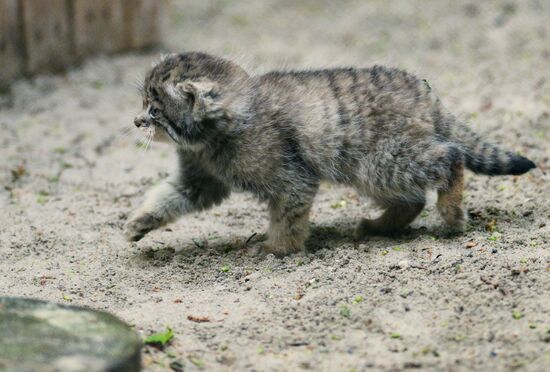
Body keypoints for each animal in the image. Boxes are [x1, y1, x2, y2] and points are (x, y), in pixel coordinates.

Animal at [123, 53, 536, 256]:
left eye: (154, 110)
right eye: (143, 105)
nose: (136, 120)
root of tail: (424, 92)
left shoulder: (293, 180)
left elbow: (287, 218)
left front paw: (279, 249)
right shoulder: (199, 180)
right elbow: (167, 196)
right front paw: (139, 222)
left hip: (384, 161)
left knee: (450, 157)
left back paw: (451, 213)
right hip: (377, 167)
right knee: (414, 197)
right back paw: (379, 226)